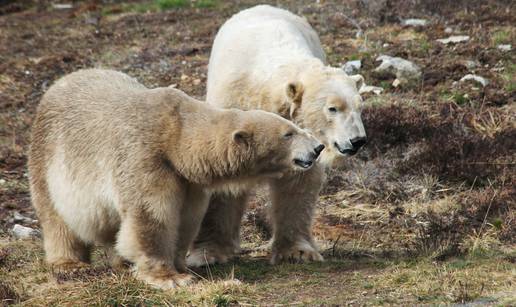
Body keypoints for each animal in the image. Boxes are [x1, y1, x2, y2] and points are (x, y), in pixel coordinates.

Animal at [28, 68, 322, 290]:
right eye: (288, 134)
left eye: (294, 126)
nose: (318, 147)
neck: (175, 136)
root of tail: (58, 83)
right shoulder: (145, 158)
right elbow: (152, 214)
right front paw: (170, 278)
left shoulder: (187, 180)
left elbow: (185, 218)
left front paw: (181, 265)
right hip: (48, 157)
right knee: (57, 217)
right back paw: (69, 264)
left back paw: (119, 262)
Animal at [189, 3, 366, 266]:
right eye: (333, 108)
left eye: (360, 106)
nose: (357, 140)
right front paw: (208, 252)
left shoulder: (300, 143)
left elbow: (297, 183)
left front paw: (298, 251)